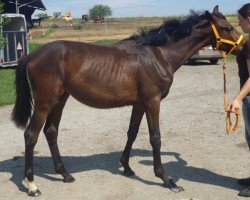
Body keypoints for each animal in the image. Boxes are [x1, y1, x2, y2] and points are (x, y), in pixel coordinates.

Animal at [11, 5, 244, 197]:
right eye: (227, 27)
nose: (244, 46)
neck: (158, 55)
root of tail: (32, 56)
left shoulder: (139, 104)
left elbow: (131, 133)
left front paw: (127, 167)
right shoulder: (152, 102)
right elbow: (155, 138)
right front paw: (166, 179)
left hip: (60, 100)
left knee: (51, 132)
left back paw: (65, 174)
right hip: (45, 102)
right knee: (31, 135)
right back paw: (31, 185)